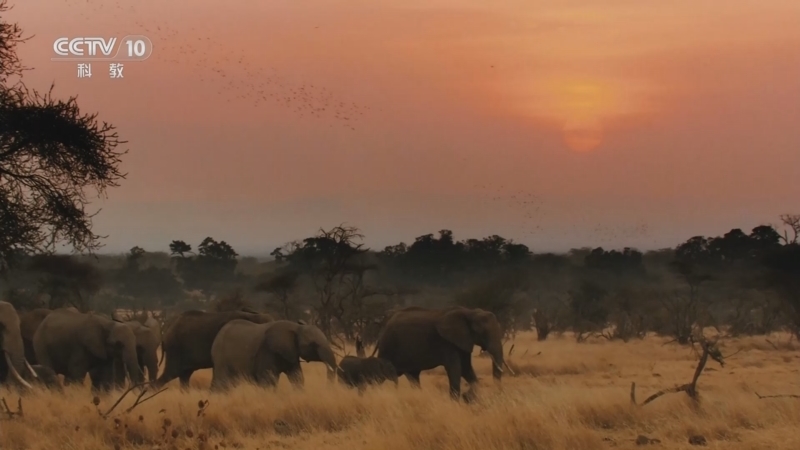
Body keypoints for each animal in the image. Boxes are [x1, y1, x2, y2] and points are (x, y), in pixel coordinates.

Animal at [210, 319, 338, 391]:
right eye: (313, 344)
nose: (327, 389)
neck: (296, 328)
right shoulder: (267, 351)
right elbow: (268, 381)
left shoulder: (291, 354)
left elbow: (297, 377)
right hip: (221, 357)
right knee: (223, 382)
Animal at [371, 306, 506, 400]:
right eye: (481, 331)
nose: (497, 393)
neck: (469, 312)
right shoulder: (447, 343)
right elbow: (455, 369)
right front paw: (456, 401)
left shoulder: (463, 341)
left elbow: (466, 368)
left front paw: (471, 397)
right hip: (388, 347)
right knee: (381, 375)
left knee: (413, 376)